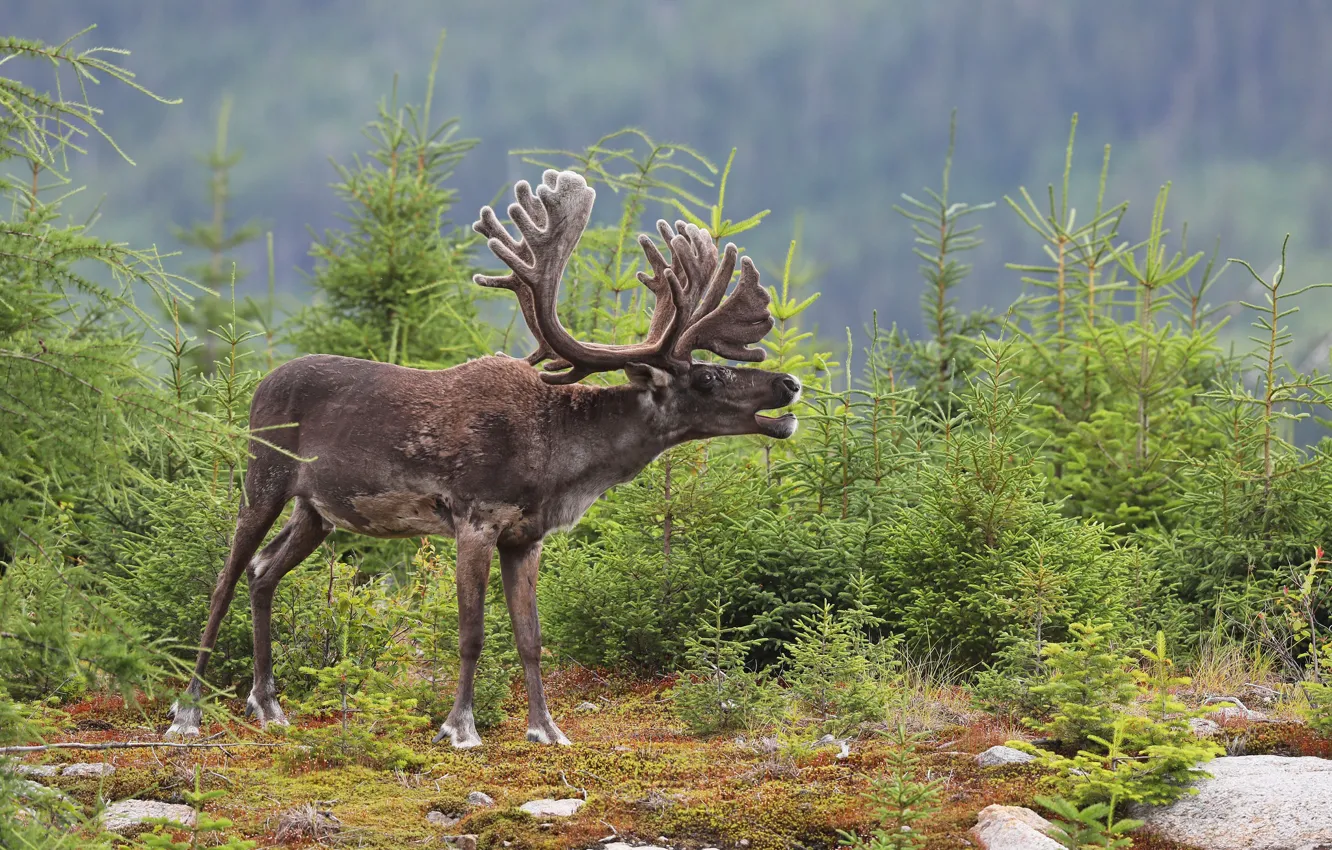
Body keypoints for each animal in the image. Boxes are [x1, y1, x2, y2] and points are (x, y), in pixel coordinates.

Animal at [166, 169, 801, 748]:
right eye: (708, 377)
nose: (789, 384)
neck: (560, 463)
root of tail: (259, 383)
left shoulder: (526, 535)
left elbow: (531, 637)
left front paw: (546, 728)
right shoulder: (475, 518)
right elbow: (471, 632)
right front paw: (459, 727)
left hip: (317, 511)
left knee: (262, 572)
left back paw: (268, 705)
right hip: (263, 478)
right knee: (224, 578)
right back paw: (189, 712)